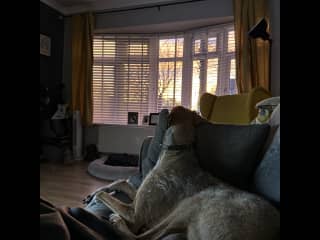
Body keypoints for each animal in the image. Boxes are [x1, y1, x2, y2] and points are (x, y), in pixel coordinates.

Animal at [96, 107, 278, 240]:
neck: (178, 152)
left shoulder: (135, 214)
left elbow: (105, 196)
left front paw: (98, 193)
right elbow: (122, 182)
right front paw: (105, 188)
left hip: (193, 204)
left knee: (142, 237)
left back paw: (116, 221)